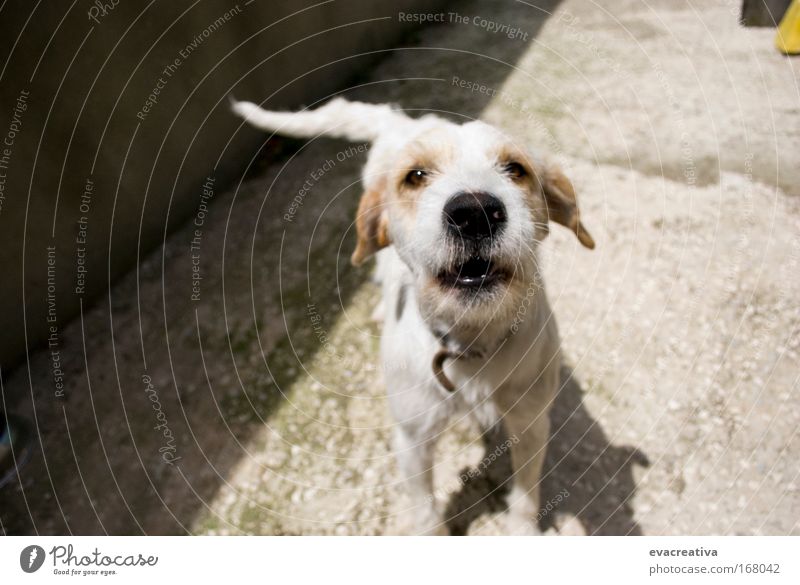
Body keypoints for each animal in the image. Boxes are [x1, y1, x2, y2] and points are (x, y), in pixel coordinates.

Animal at [231, 97, 592, 532]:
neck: (469, 342)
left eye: (515, 169)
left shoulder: (531, 423)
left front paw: (523, 533)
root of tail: (402, 121)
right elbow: (424, 509)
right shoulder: (411, 440)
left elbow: (525, 495)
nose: (474, 213)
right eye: (415, 176)